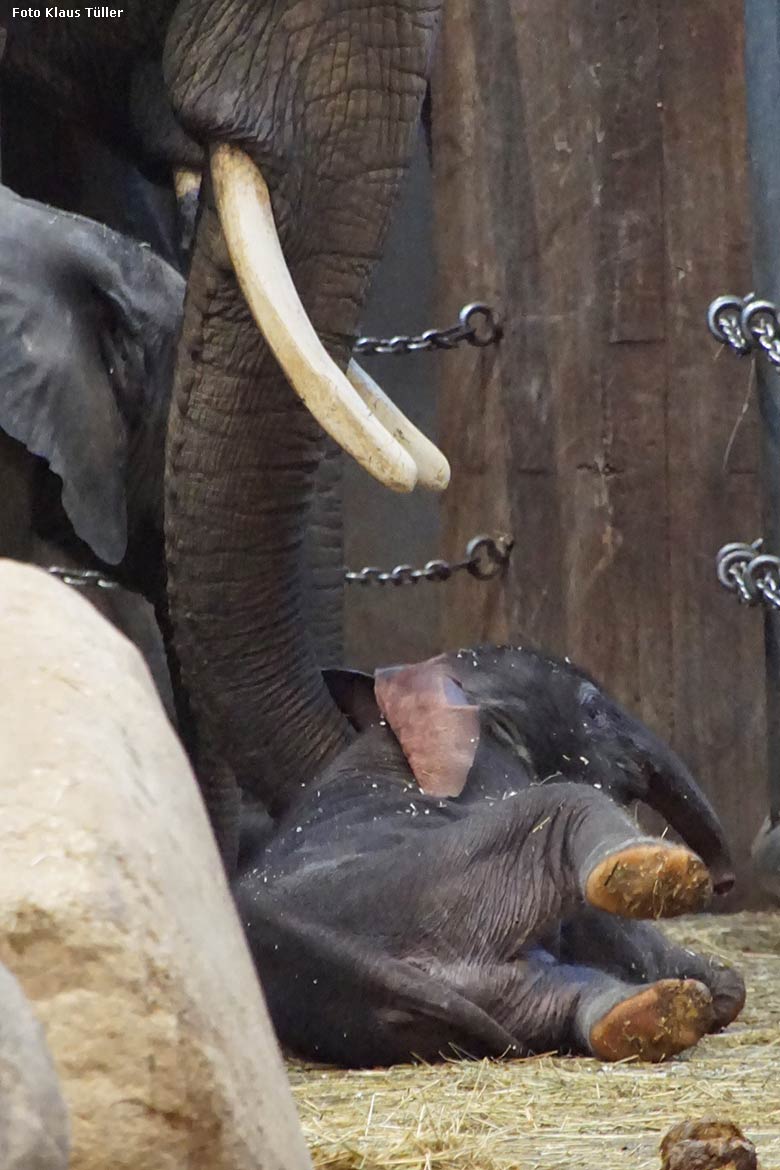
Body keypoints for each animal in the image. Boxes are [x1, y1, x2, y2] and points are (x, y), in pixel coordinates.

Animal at [236, 650, 743, 1071]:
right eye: (594, 710)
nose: (724, 883)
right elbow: (601, 927)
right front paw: (720, 980)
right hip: (447, 888)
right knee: (566, 805)